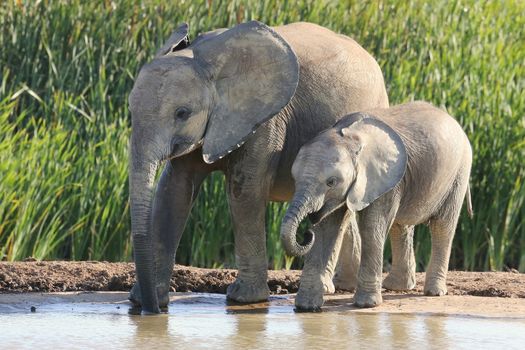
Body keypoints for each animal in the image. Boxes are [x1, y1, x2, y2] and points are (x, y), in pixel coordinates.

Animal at [127, 19, 388, 314]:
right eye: (131, 110)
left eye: (182, 113)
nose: (151, 312)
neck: (205, 60)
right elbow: (173, 191)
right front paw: (148, 300)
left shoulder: (264, 120)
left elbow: (244, 192)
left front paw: (244, 298)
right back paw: (339, 286)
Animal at [280, 100, 472, 308]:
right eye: (294, 178)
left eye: (331, 181)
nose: (306, 234)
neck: (351, 137)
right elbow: (327, 228)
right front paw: (306, 307)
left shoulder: (382, 178)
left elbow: (371, 227)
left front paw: (366, 304)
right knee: (401, 225)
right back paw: (396, 287)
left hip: (459, 173)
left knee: (442, 226)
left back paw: (434, 292)